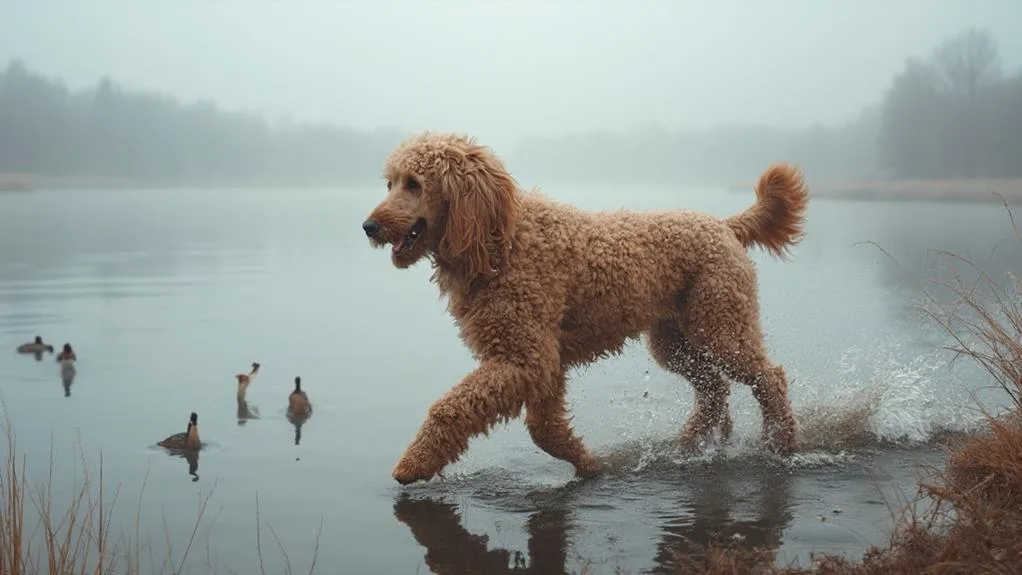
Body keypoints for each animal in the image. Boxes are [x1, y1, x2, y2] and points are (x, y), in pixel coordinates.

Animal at [363, 131, 809, 486]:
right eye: (390, 183)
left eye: (414, 183)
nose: (369, 226)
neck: (500, 240)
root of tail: (724, 225)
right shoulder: (543, 362)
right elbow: (545, 429)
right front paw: (588, 464)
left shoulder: (526, 357)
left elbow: (451, 408)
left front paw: (414, 464)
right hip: (675, 339)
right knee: (714, 388)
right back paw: (687, 445)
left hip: (721, 325)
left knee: (768, 378)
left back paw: (781, 443)